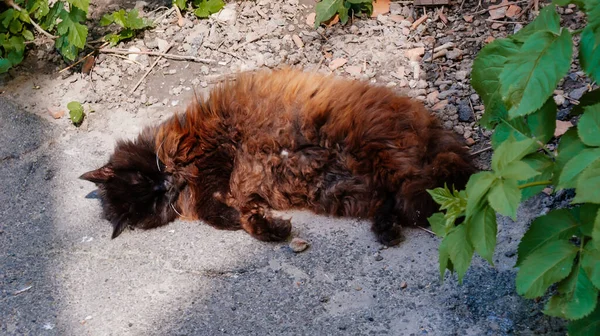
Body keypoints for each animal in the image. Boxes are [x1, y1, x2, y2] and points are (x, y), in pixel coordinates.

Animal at [79, 68, 476, 247]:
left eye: (148, 182)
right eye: (153, 199)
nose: (166, 185)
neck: (179, 169)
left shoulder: (215, 151)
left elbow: (211, 205)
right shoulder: (245, 190)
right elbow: (240, 214)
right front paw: (269, 229)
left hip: (385, 157)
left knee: (439, 188)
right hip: (348, 193)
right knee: (404, 201)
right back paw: (385, 229)